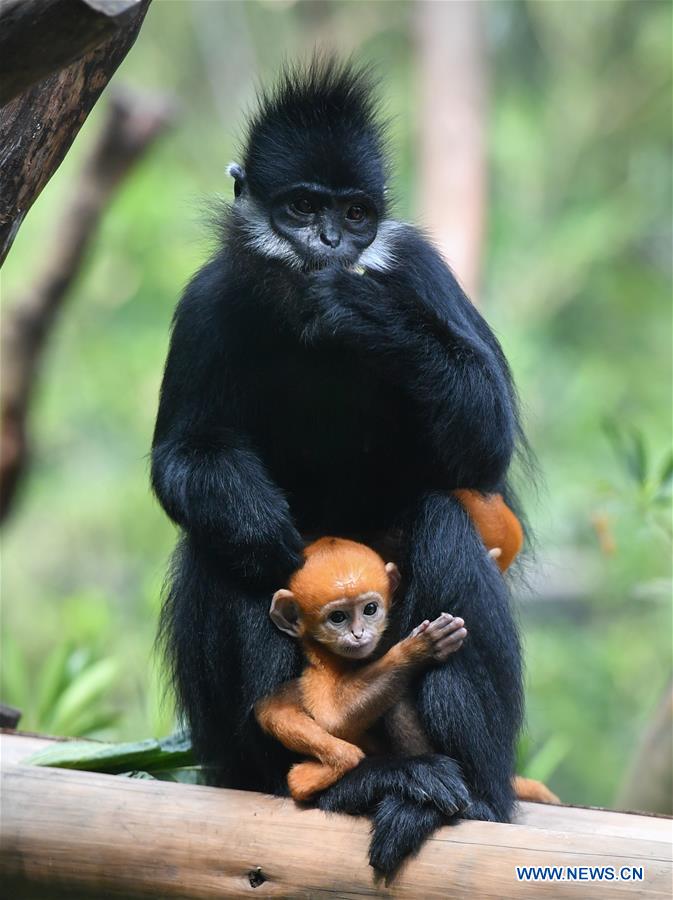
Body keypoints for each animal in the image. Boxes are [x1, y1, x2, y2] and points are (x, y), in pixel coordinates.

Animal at [155, 59, 528, 876]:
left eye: (356, 215)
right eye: (301, 208)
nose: (329, 242)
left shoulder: (419, 270)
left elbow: (483, 445)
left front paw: (356, 306)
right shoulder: (205, 299)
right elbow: (180, 460)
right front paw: (253, 513)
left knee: (440, 514)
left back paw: (465, 794)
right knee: (227, 547)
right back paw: (338, 782)